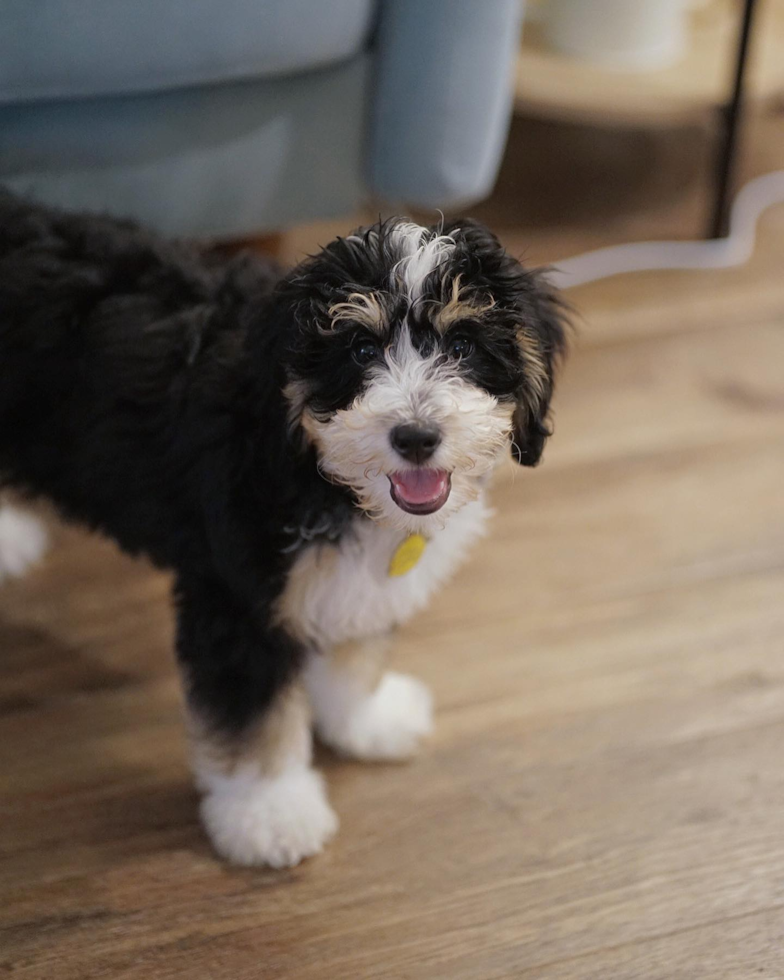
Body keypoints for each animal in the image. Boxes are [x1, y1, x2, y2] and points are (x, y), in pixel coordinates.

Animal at [0, 191, 564, 864]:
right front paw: (268, 813)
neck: (311, 465)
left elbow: (354, 651)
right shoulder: (240, 599)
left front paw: (364, 720)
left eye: (462, 347)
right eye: (360, 351)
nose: (416, 436)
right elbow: (257, 720)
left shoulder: (347, 581)